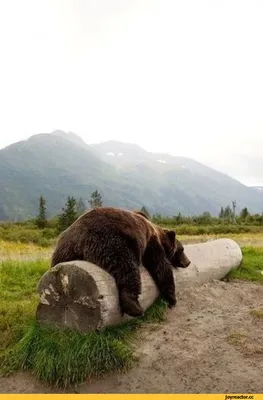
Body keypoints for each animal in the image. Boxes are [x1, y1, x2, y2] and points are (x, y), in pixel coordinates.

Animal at [51, 208, 192, 318]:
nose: (188, 262)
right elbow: (161, 266)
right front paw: (172, 299)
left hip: (62, 252)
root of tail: (78, 241)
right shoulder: (150, 242)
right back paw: (135, 308)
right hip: (111, 240)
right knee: (126, 267)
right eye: (182, 249)